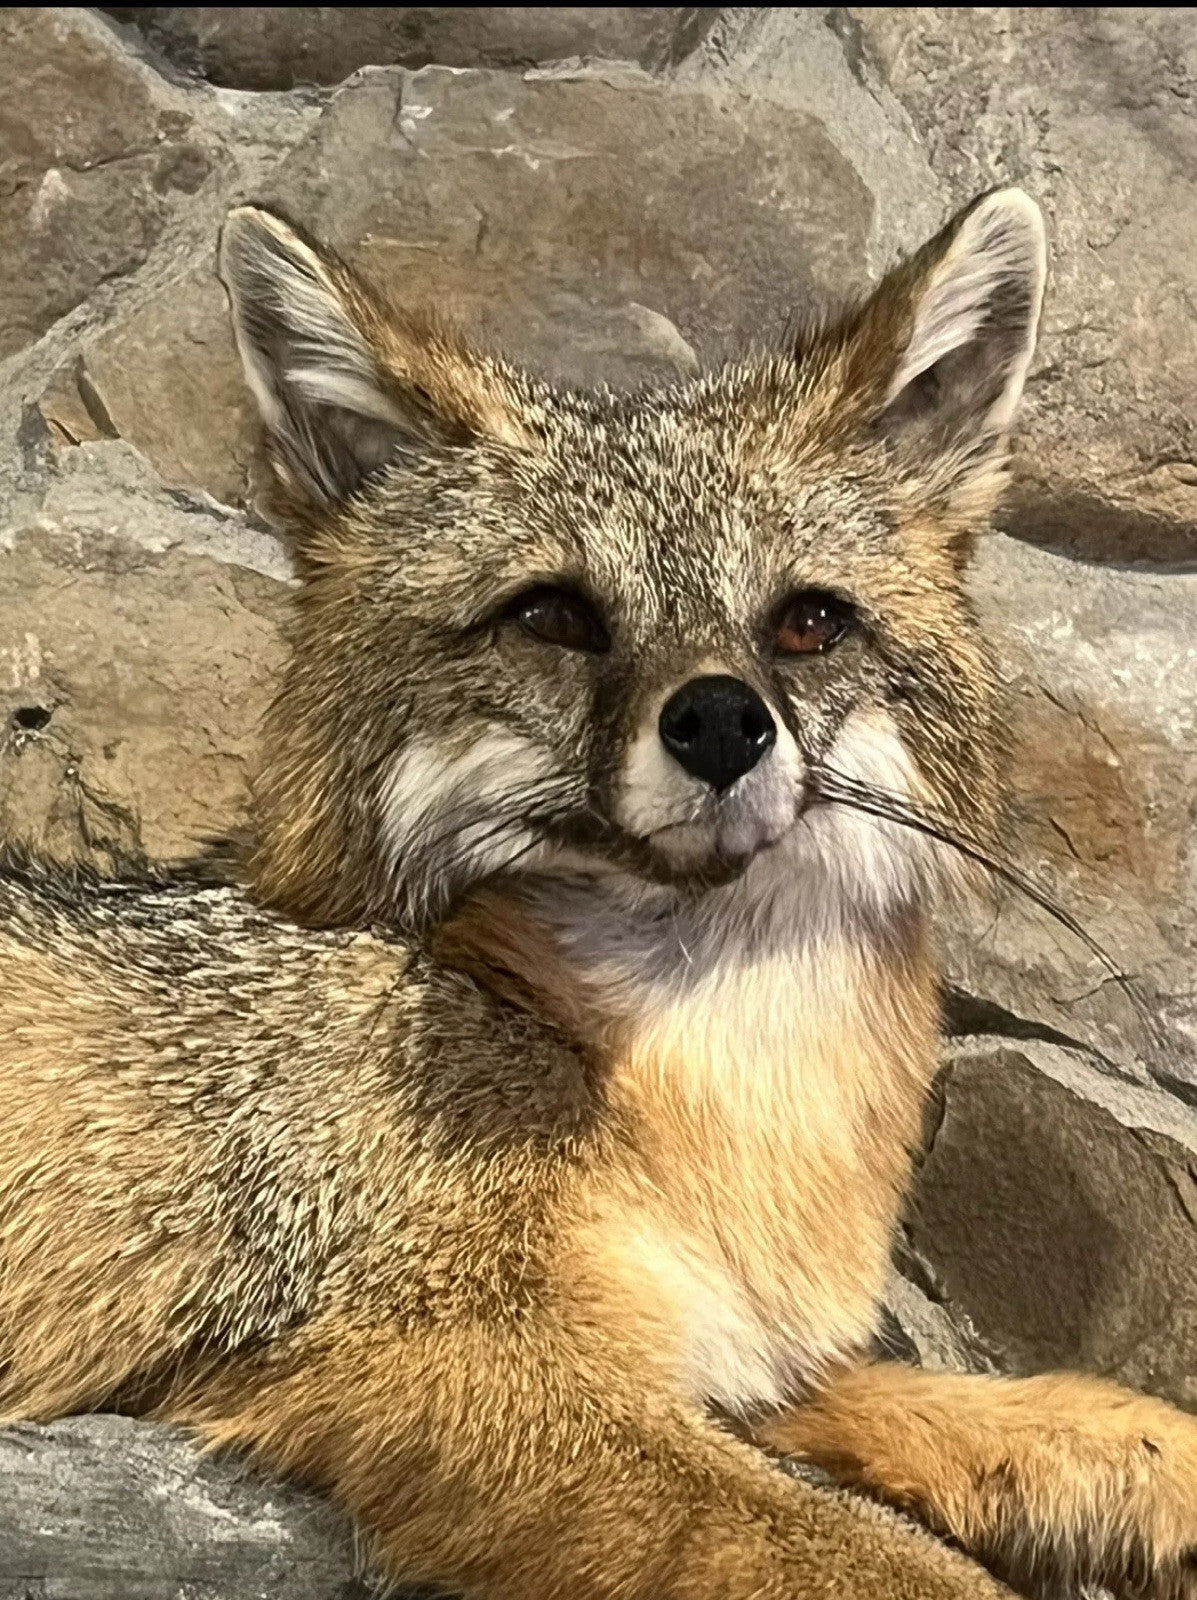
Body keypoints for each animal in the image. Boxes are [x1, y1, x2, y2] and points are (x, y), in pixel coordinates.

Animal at [1, 186, 1195, 1600]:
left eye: (807, 623)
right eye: (554, 616)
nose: (722, 722)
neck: (714, 1096)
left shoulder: (727, 1350)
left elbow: (1000, 1410)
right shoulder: (462, 1355)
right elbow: (880, 1556)